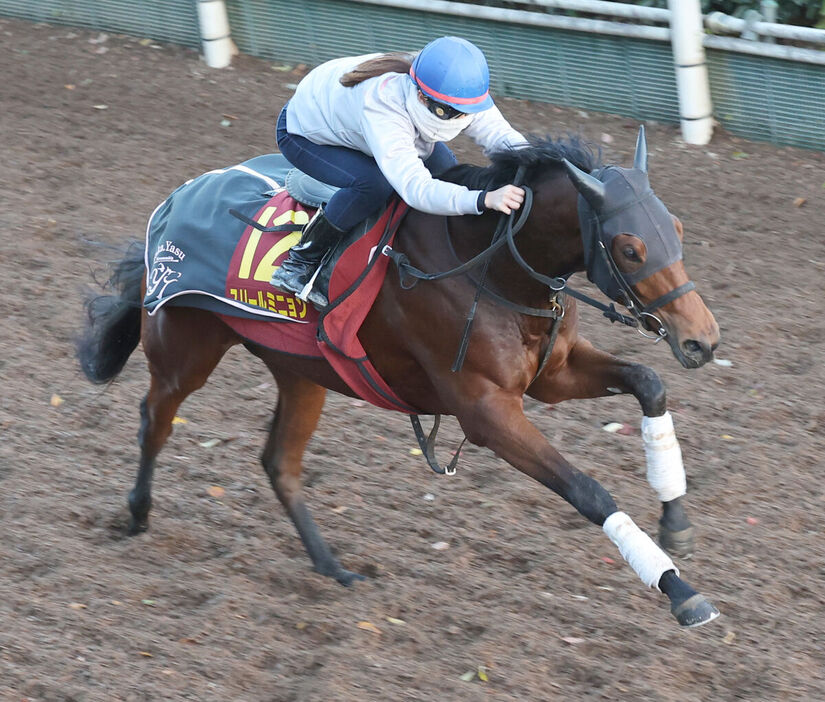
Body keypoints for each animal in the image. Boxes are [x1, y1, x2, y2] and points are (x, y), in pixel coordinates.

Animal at [77, 129, 720, 628]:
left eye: (677, 228)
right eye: (630, 248)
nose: (702, 340)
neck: (489, 266)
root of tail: (172, 202)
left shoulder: (552, 375)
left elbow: (649, 382)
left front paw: (676, 523)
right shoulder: (485, 410)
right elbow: (588, 490)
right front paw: (681, 591)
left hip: (301, 372)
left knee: (279, 463)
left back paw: (333, 567)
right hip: (186, 348)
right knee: (155, 420)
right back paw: (137, 513)